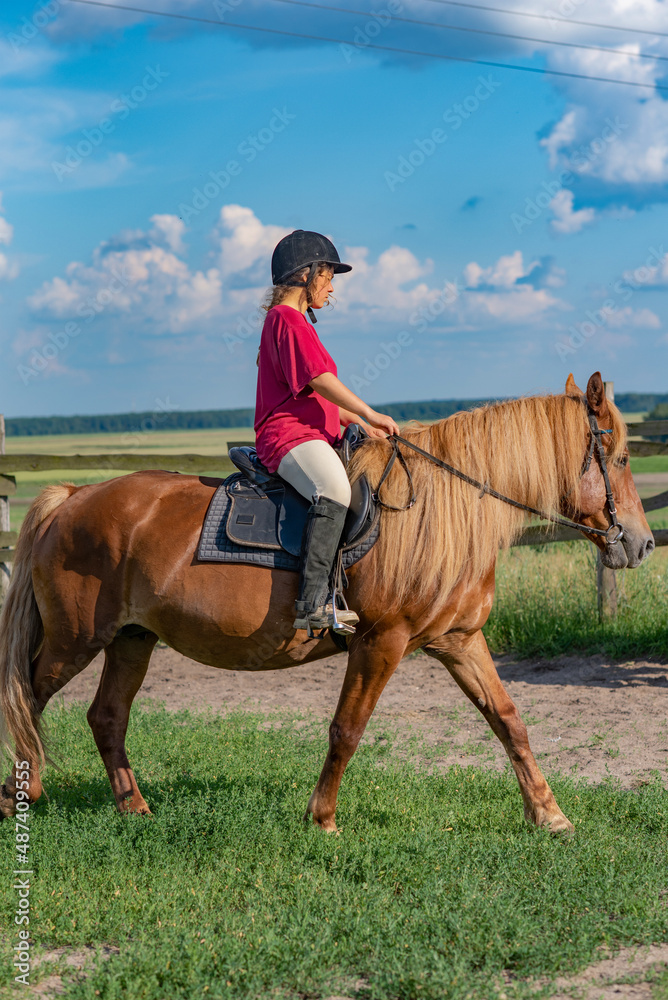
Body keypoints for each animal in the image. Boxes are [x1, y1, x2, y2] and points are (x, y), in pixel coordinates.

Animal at [0, 372, 654, 834]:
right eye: (621, 458)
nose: (643, 543)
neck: (439, 509)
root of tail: (73, 497)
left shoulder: (459, 640)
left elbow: (509, 720)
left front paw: (550, 815)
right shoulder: (381, 641)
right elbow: (347, 728)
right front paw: (323, 819)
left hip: (131, 640)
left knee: (106, 716)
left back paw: (133, 808)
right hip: (73, 641)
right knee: (28, 698)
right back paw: (17, 798)